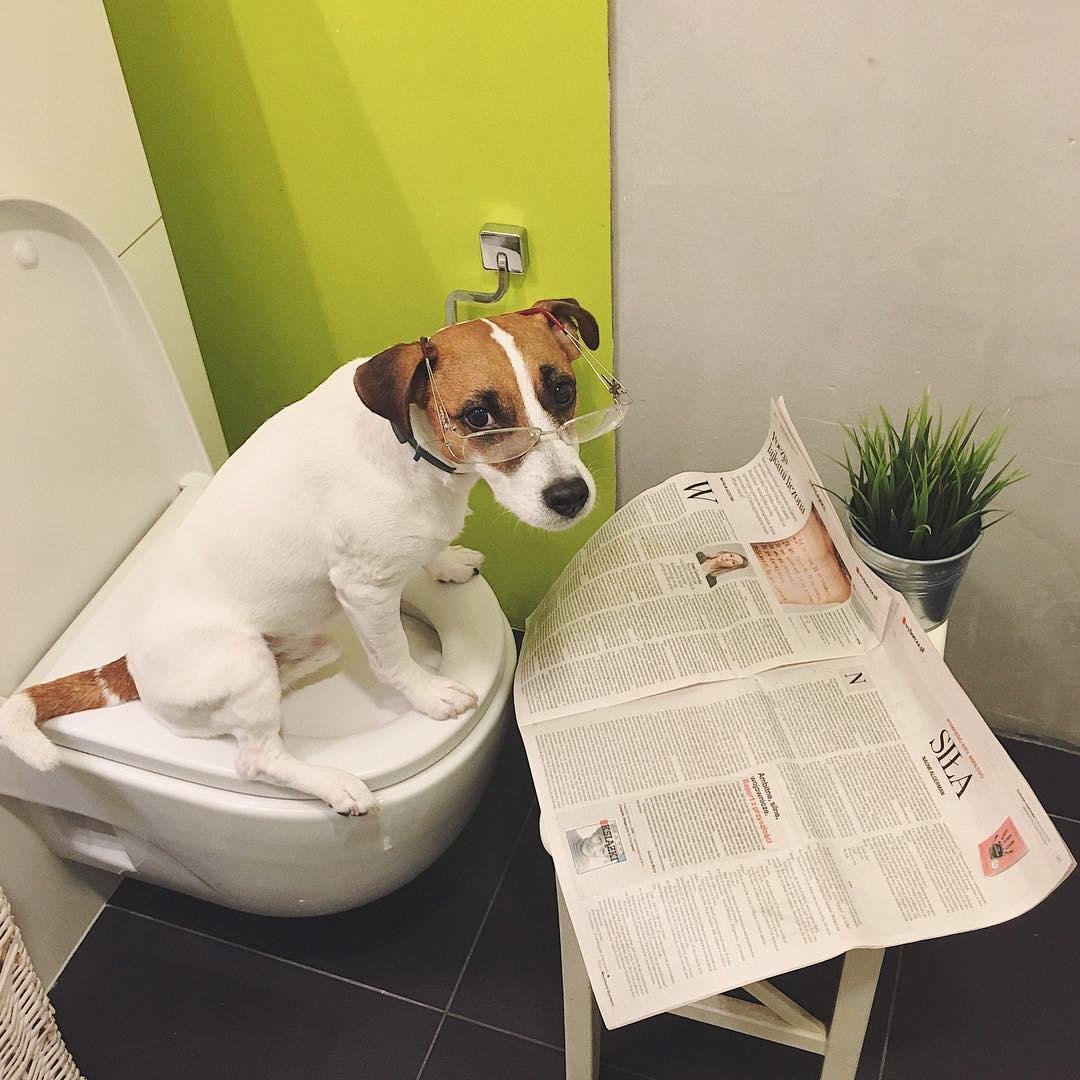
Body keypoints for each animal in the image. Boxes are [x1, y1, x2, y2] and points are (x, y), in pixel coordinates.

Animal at [0, 300, 600, 812]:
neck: (409, 444)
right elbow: (393, 657)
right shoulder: (364, 590)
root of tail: (126, 665)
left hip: (302, 646)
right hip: (243, 665)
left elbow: (425, 554)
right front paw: (427, 693)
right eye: (478, 416)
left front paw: (442, 562)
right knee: (256, 757)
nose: (570, 496)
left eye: (563, 390)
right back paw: (334, 785)